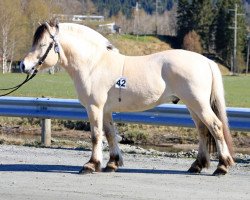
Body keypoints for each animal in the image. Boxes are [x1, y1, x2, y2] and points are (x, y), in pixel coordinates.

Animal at [21, 21, 234, 176]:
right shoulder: (105, 110)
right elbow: (109, 134)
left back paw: (221, 167)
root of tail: (206, 61)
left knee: (215, 127)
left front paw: (91, 165)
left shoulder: (94, 107)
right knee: (203, 130)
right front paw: (112, 164)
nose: (23, 65)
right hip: (193, 106)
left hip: (198, 104)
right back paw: (197, 165)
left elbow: (96, 135)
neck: (93, 63)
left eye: (42, 45)